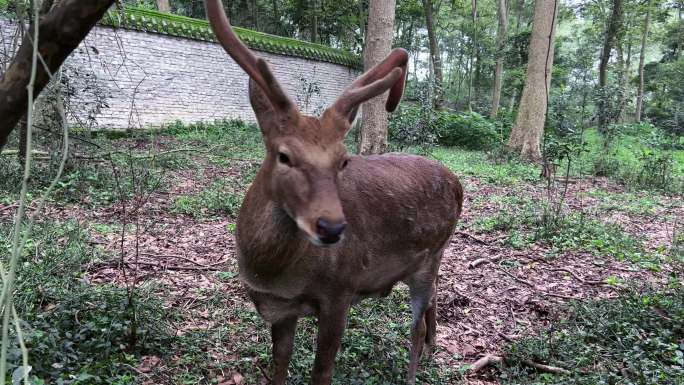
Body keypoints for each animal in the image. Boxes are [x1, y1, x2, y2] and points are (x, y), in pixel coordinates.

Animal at [204, 1, 464, 382]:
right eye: (284, 155)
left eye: (343, 160)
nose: (332, 227)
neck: (274, 277)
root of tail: (458, 184)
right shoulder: (281, 309)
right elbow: (279, 362)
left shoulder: (341, 290)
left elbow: (322, 370)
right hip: (435, 257)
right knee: (435, 294)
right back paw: (434, 347)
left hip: (430, 254)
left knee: (415, 323)